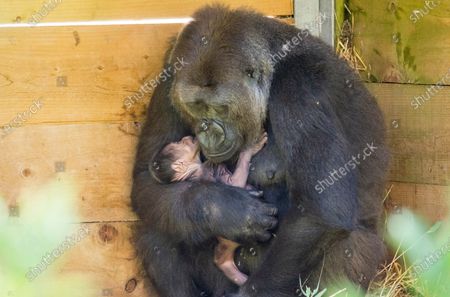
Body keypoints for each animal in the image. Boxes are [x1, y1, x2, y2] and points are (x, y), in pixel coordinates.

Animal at [150, 132, 268, 284]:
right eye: (181, 143)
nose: (186, 138)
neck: (193, 172)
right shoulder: (211, 169)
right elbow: (235, 182)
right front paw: (251, 149)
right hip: (232, 239)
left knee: (221, 257)